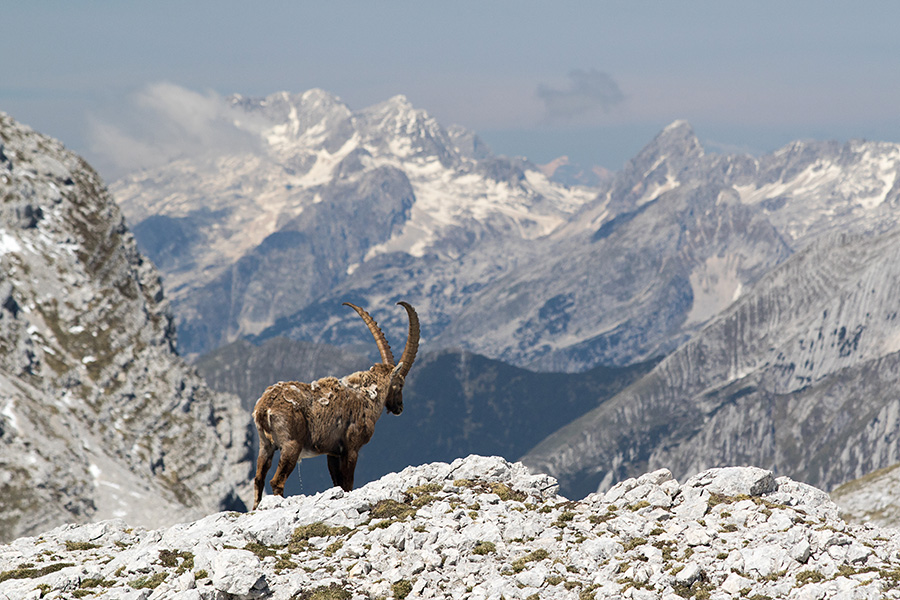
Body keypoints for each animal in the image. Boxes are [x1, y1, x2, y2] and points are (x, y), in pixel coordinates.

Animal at [251, 301, 420, 509]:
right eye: (400, 384)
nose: (399, 408)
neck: (367, 396)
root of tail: (264, 408)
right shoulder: (351, 448)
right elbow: (347, 483)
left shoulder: (332, 452)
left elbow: (337, 482)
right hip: (291, 445)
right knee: (276, 481)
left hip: (265, 445)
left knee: (258, 478)